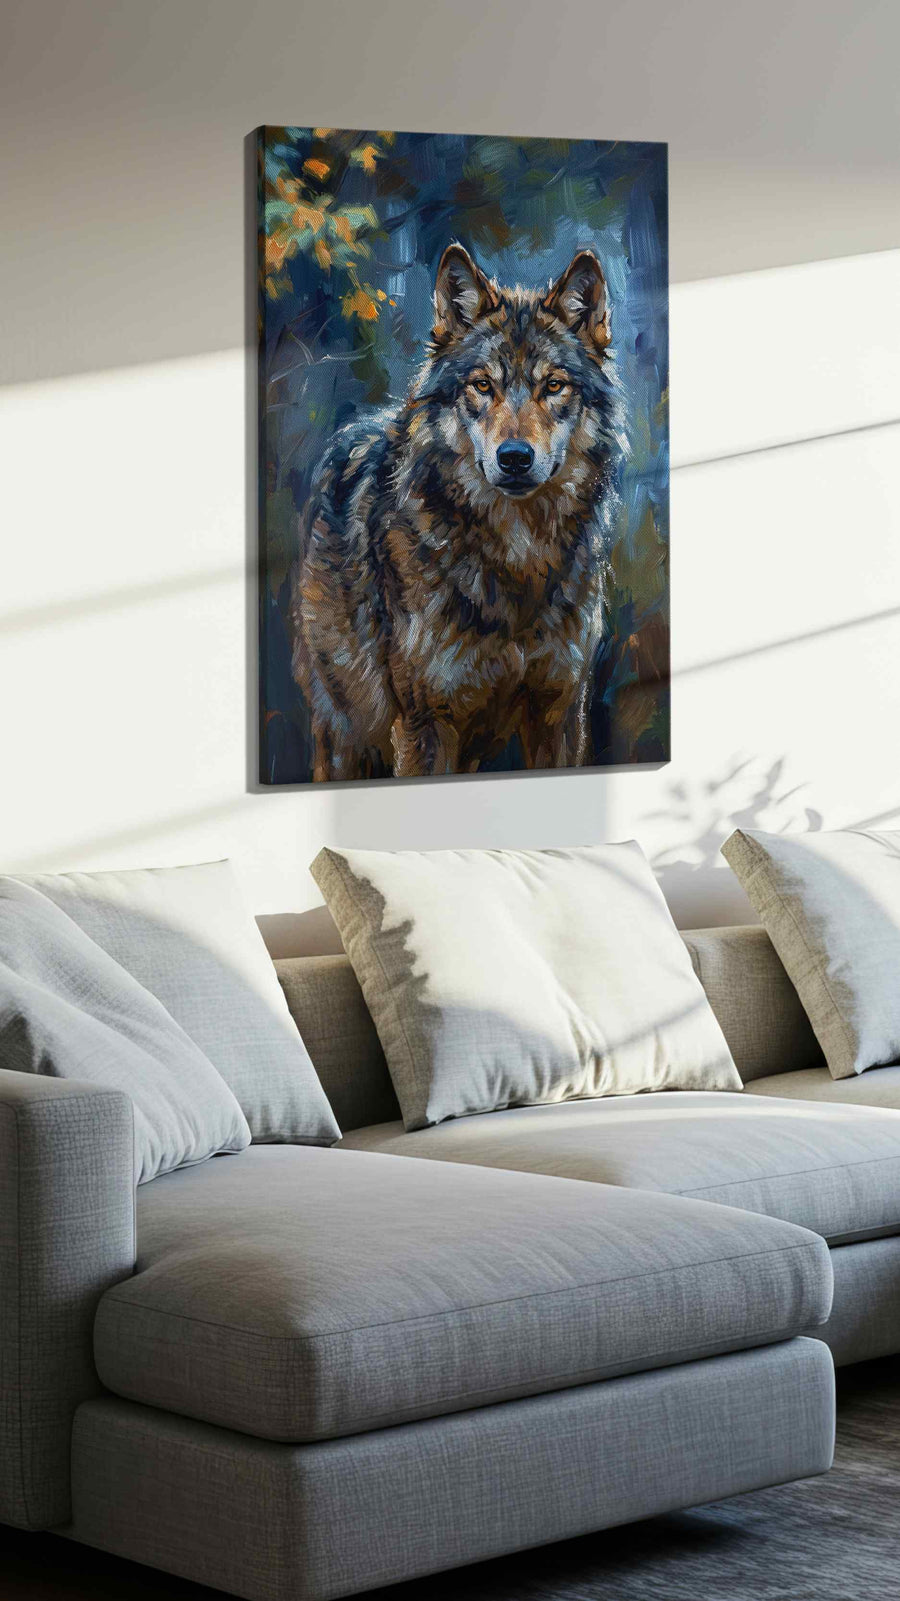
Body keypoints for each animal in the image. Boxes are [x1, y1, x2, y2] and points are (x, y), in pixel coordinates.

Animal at [291, 243, 625, 780]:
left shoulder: (559, 711)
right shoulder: (425, 723)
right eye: (482, 386)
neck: (518, 556)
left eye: (553, 386)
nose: (515, 457)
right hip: (346, 733)